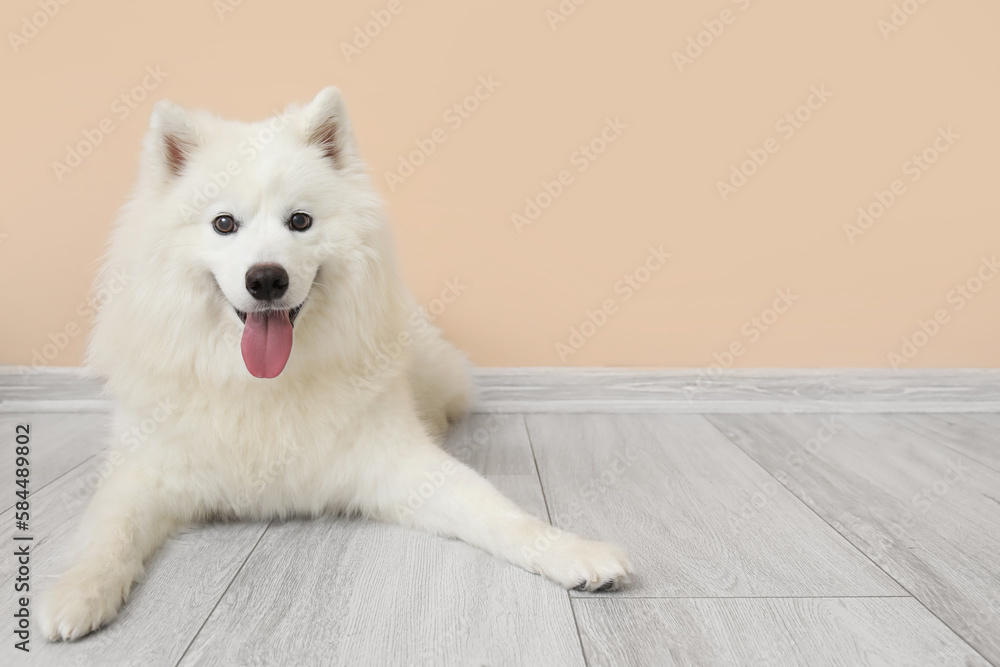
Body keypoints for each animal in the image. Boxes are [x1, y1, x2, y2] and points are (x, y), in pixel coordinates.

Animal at [41, 88, 632, 640]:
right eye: (224, 223)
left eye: (300, 220)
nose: (266, 279)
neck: (261, 385)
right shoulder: (141, 471)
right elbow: (108, 533)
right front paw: (75, 595)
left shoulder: (398, 464)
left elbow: (497, 510)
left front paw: (573, 551)